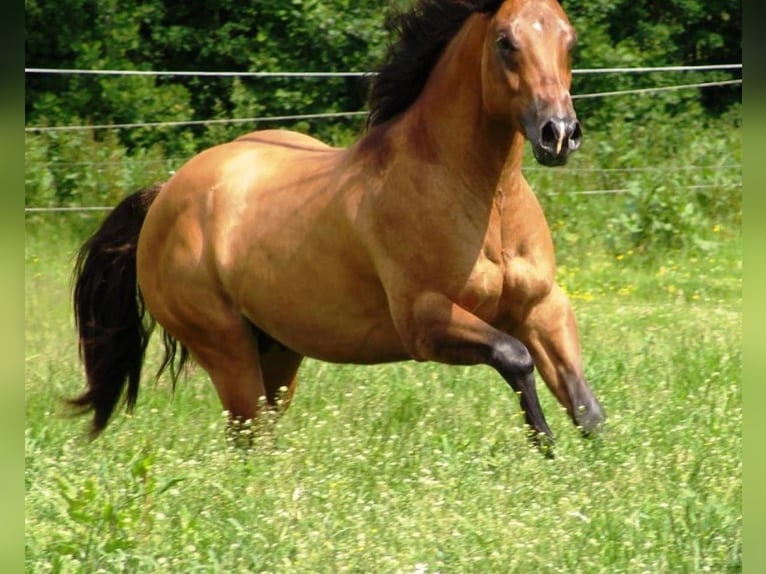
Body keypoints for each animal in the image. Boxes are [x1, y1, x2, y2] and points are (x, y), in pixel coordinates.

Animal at [69, 1, 608, 460]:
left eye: (569, 38)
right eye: (505, 41)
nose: (559, 133)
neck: (484, 199)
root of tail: (164, 196)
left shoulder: (542, 307)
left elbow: (585, 404)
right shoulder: (426, 322)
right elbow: (515, 357)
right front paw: (546, 448)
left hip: (278, 353)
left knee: (261, 432)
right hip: (226, 349)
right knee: (247, 439)